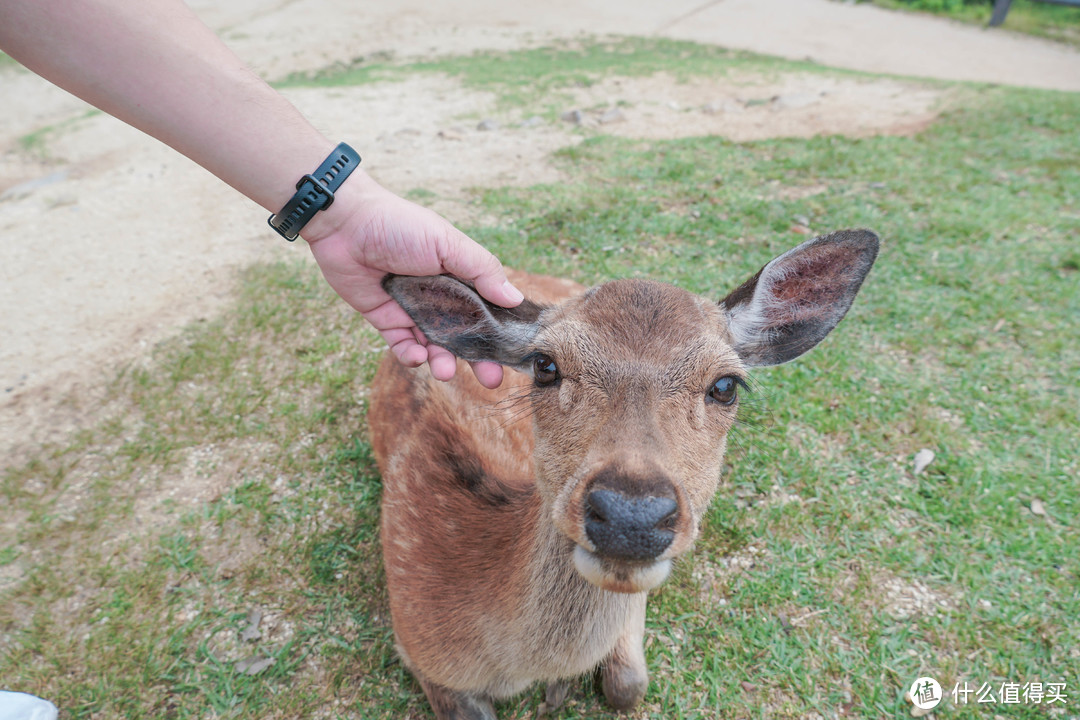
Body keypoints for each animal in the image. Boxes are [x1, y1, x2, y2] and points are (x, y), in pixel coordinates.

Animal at [367, 229, 881, 716]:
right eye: (545, 365)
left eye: (726, 385)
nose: (631, 517)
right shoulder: (417, 648)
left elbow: (628, 686)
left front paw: (565, 688)